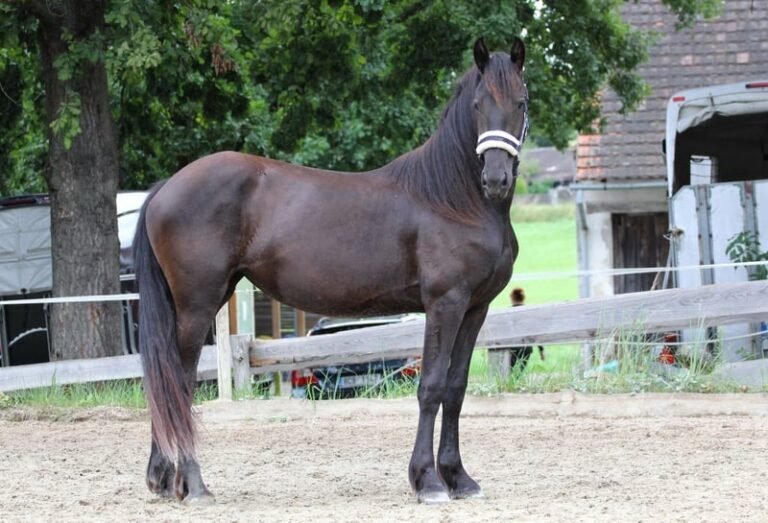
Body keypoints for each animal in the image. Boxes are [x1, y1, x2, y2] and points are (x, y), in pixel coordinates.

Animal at [133, 37, 528, 505]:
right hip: (197, 307)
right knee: (179, 384)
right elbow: (431, 386)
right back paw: (193, 485)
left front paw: (459, 478)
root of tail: (166, 187)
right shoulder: (444, 304)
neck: (452, 199)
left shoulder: (474, 308)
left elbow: (456, 387)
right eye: (478, 104)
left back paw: (162, 480)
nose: (496, 180)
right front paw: (428, 481)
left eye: (521, 102)